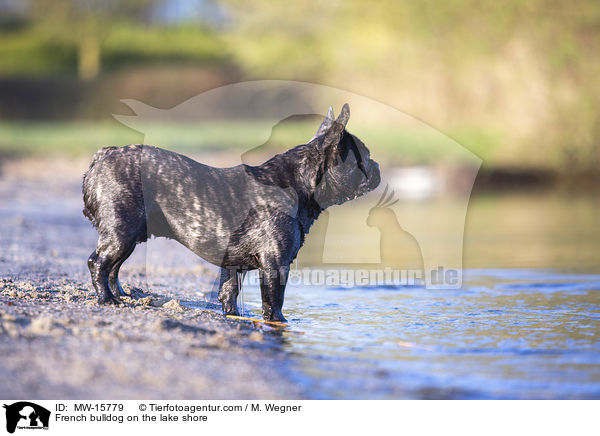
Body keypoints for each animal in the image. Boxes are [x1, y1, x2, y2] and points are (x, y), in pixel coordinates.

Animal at [82, 102, 380, 320]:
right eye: (364, 158)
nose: (376, 166)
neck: (299, 183)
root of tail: (104, 155)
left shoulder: (233, 265)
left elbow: (229, 292)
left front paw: (233, 315)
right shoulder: (275, 265)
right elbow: (274, 302)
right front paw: (279, 322)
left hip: (129, 236)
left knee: (113, 267)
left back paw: (121, 295)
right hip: (122, 232)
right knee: (99, 263)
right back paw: (107, 300)